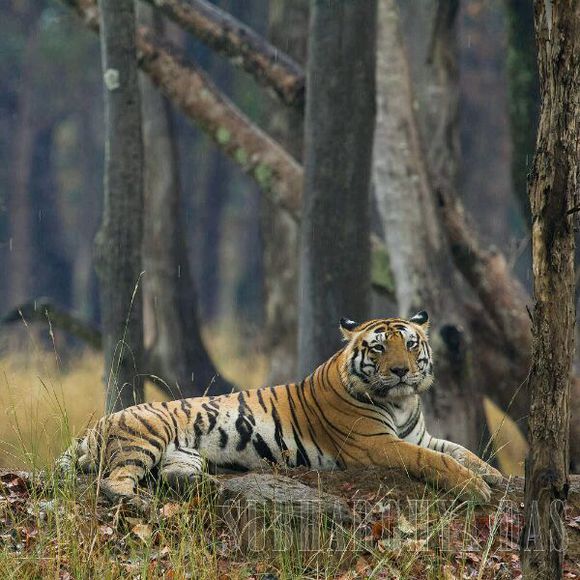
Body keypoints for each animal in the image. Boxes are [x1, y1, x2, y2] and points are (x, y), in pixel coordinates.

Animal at [59, 310, 502, 506]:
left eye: (410, 344)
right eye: (378, 348)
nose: (400, 371)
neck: (401, 402)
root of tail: (94, 426)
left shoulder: (419, 435)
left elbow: (460, 451)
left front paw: (492, 475)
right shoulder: (376, 444)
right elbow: (435, 460)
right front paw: (475, 489)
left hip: (183, 456)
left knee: (172, 477)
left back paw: (211, 487)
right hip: (146, 437)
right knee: (113, 481)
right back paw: (137, 501)